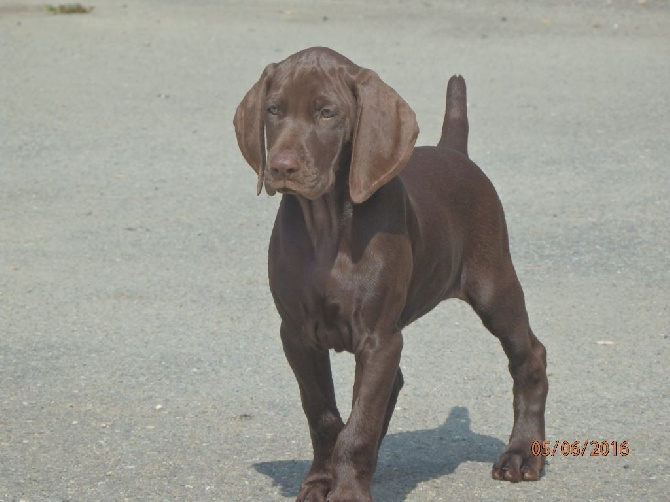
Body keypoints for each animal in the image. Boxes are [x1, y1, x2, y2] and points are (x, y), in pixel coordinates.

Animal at [234, 48, 548, 502]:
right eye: (274, 110)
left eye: (327, 113)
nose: (281, 167)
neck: (327, 225)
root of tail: (456, 153)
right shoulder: (296, 334)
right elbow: (324, 416)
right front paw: (321, 481)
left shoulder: (379, 336)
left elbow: (359, 424)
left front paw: (347, 490)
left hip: (494, 285)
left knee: (529, 356)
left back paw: (523, 454)